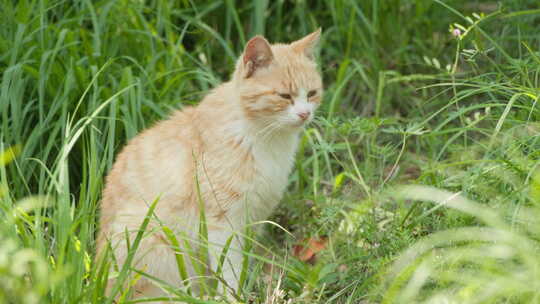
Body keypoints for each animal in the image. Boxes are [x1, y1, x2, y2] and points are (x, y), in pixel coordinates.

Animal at [97, 29, 322, 300]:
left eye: (311, 93)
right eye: (285, 96)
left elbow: (243, 263)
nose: (305, 114)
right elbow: (229, 268)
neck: (265, 138)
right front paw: (231, 298)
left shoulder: (254, 218)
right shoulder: (222, 221)